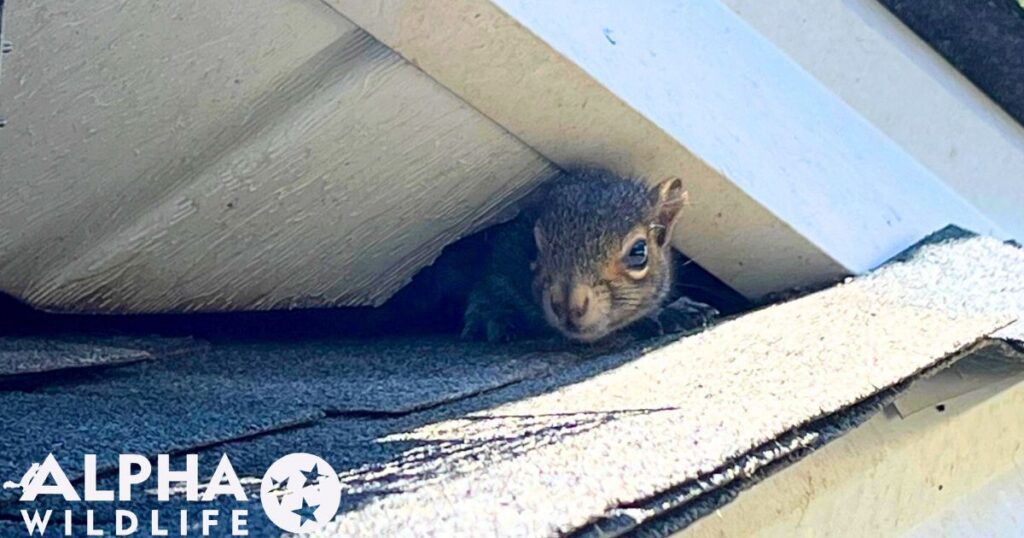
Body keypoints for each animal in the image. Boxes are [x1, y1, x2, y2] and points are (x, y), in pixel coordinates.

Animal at [460, 168, 719, 343]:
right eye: (531, 244)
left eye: (639, 252)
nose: (568, 305)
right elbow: (488, 286)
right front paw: (493, 316)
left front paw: (676, 311)